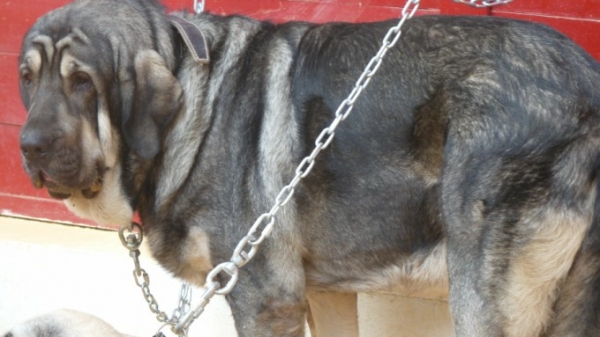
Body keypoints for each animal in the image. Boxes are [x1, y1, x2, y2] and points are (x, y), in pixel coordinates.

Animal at [16, 0, 600, 334]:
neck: (192, 100)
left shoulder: (264, 299)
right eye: (27, 77)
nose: (28, 146)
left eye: (83, 82)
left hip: (484, 301)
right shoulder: (321, 293)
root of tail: (587, 81)